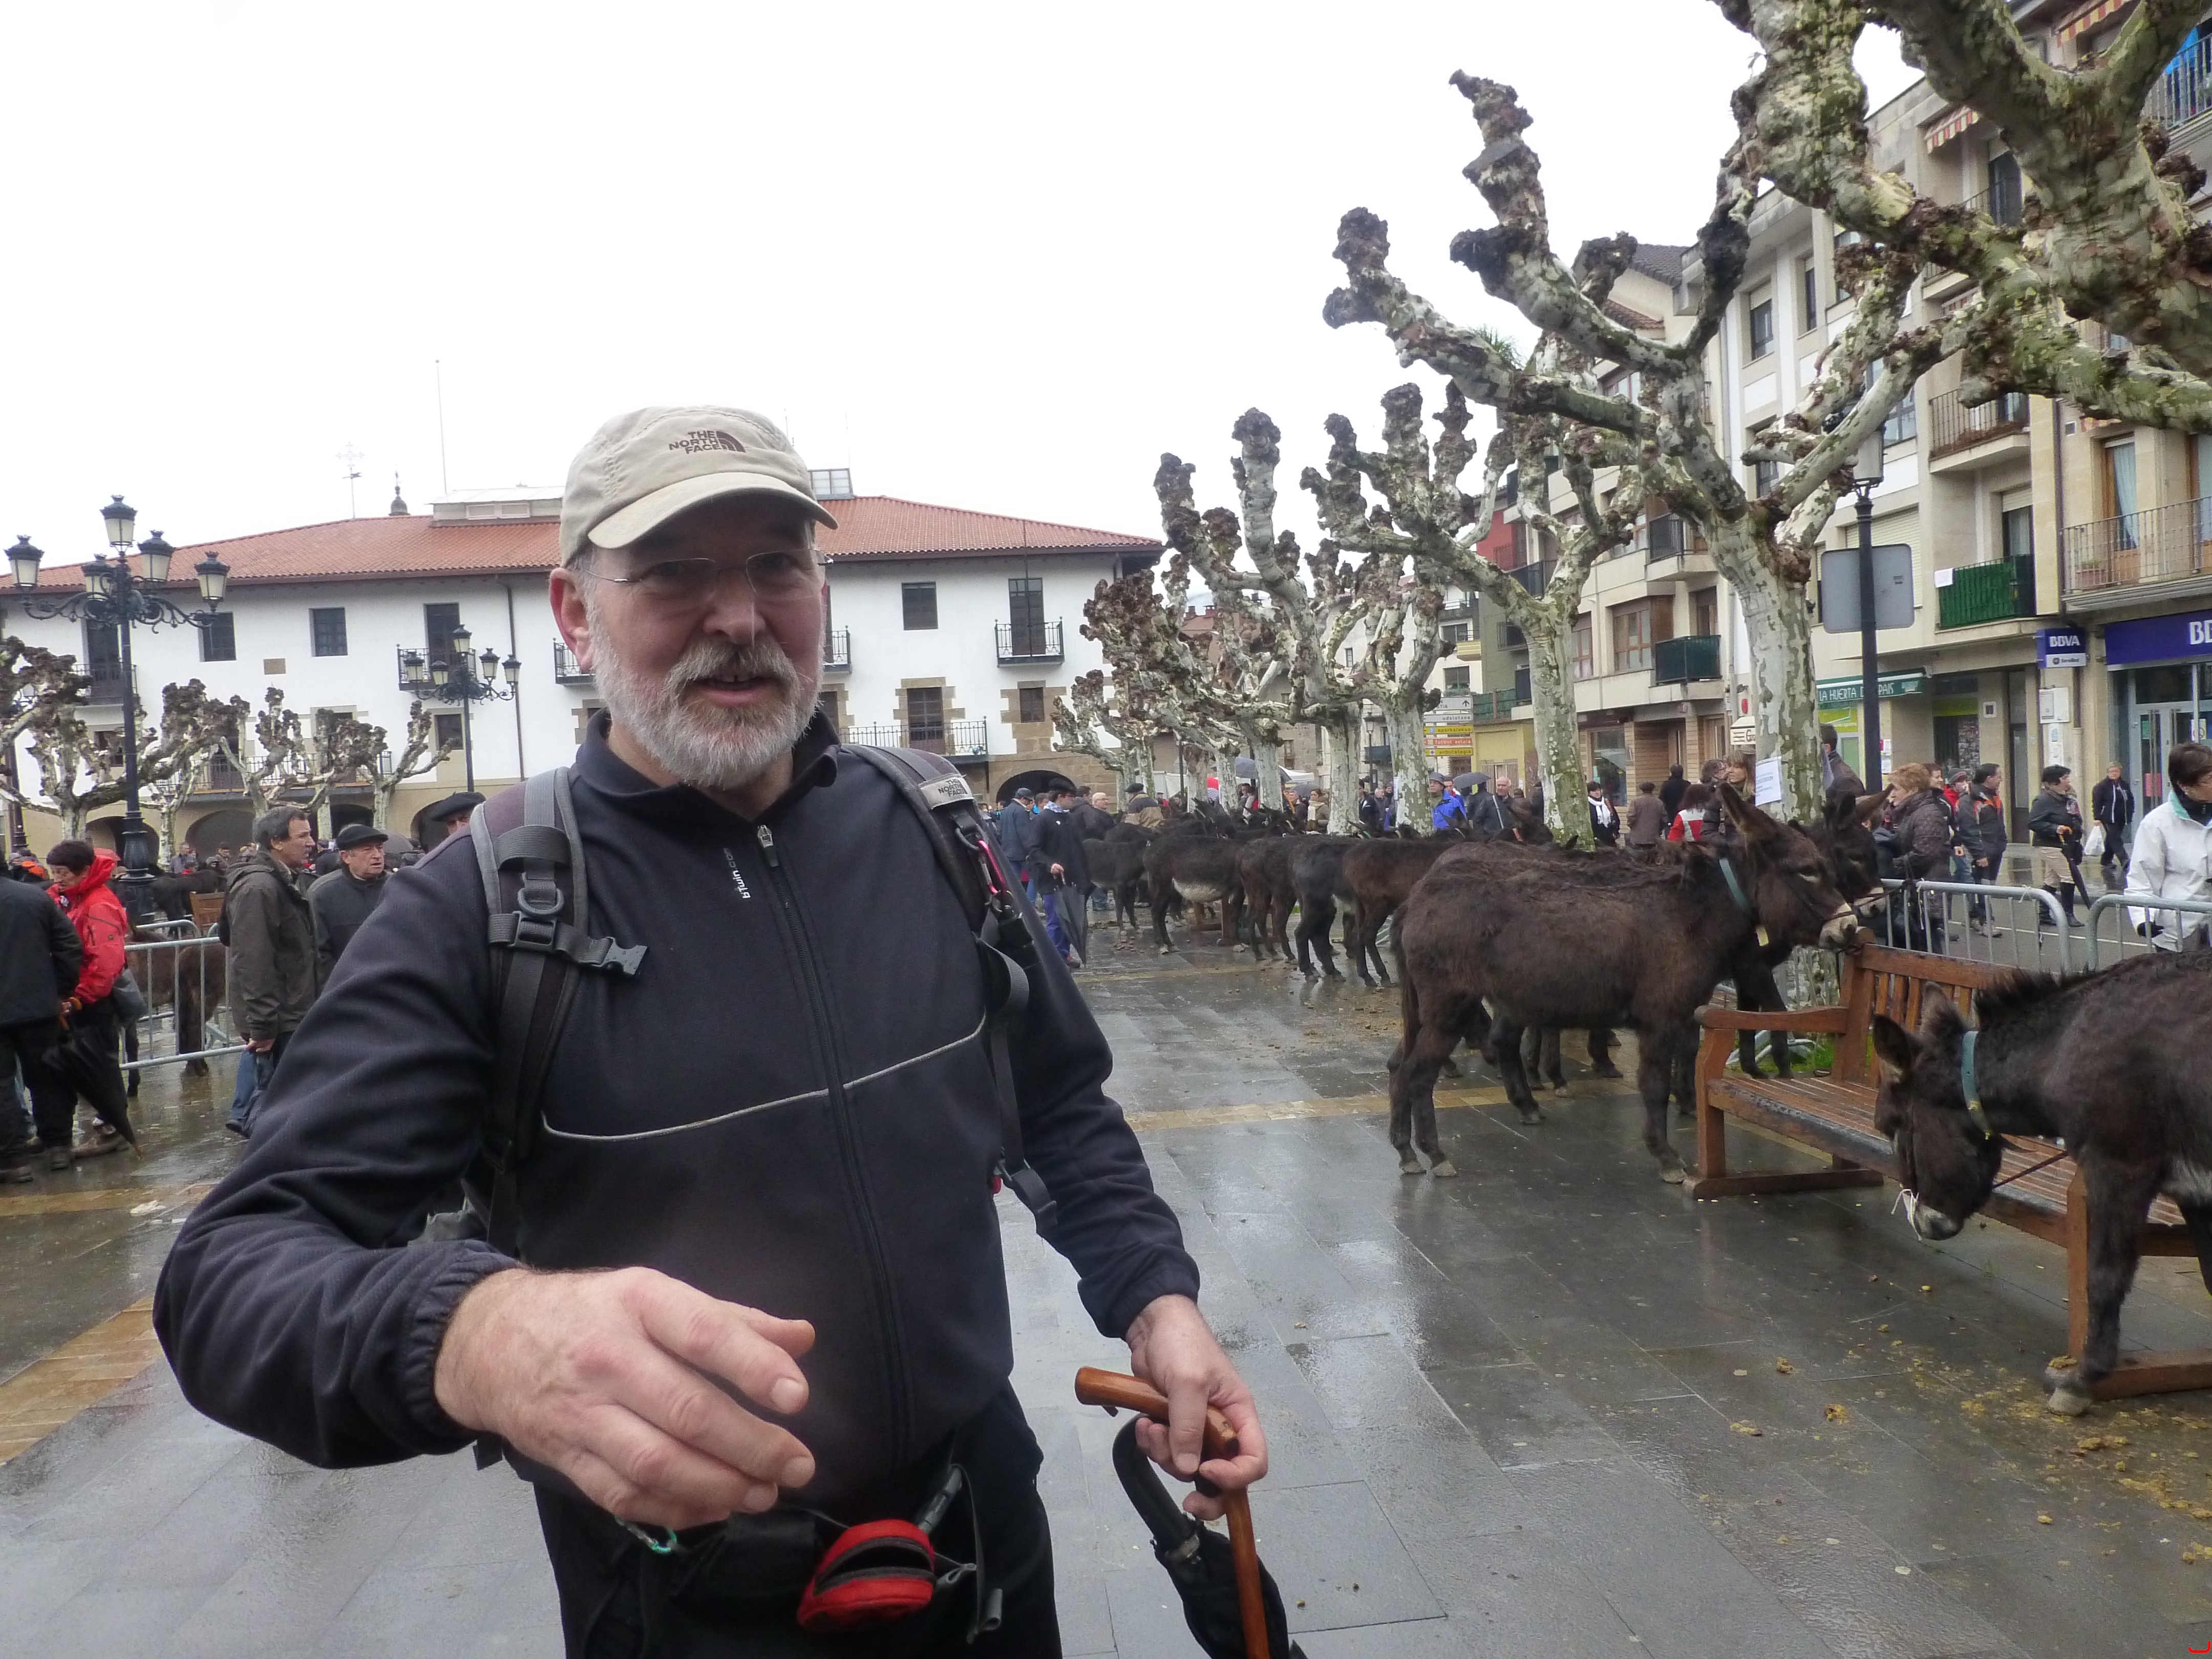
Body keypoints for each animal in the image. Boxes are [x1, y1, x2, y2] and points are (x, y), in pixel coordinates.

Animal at [1871, 954, 2212, 1415]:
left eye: (1892, 1128)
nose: (1923, 1223)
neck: (2060, 1047)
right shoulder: (2195, 1192)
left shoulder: (2118, 1166)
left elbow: (2104, 1277)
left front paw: (2080, 1381)